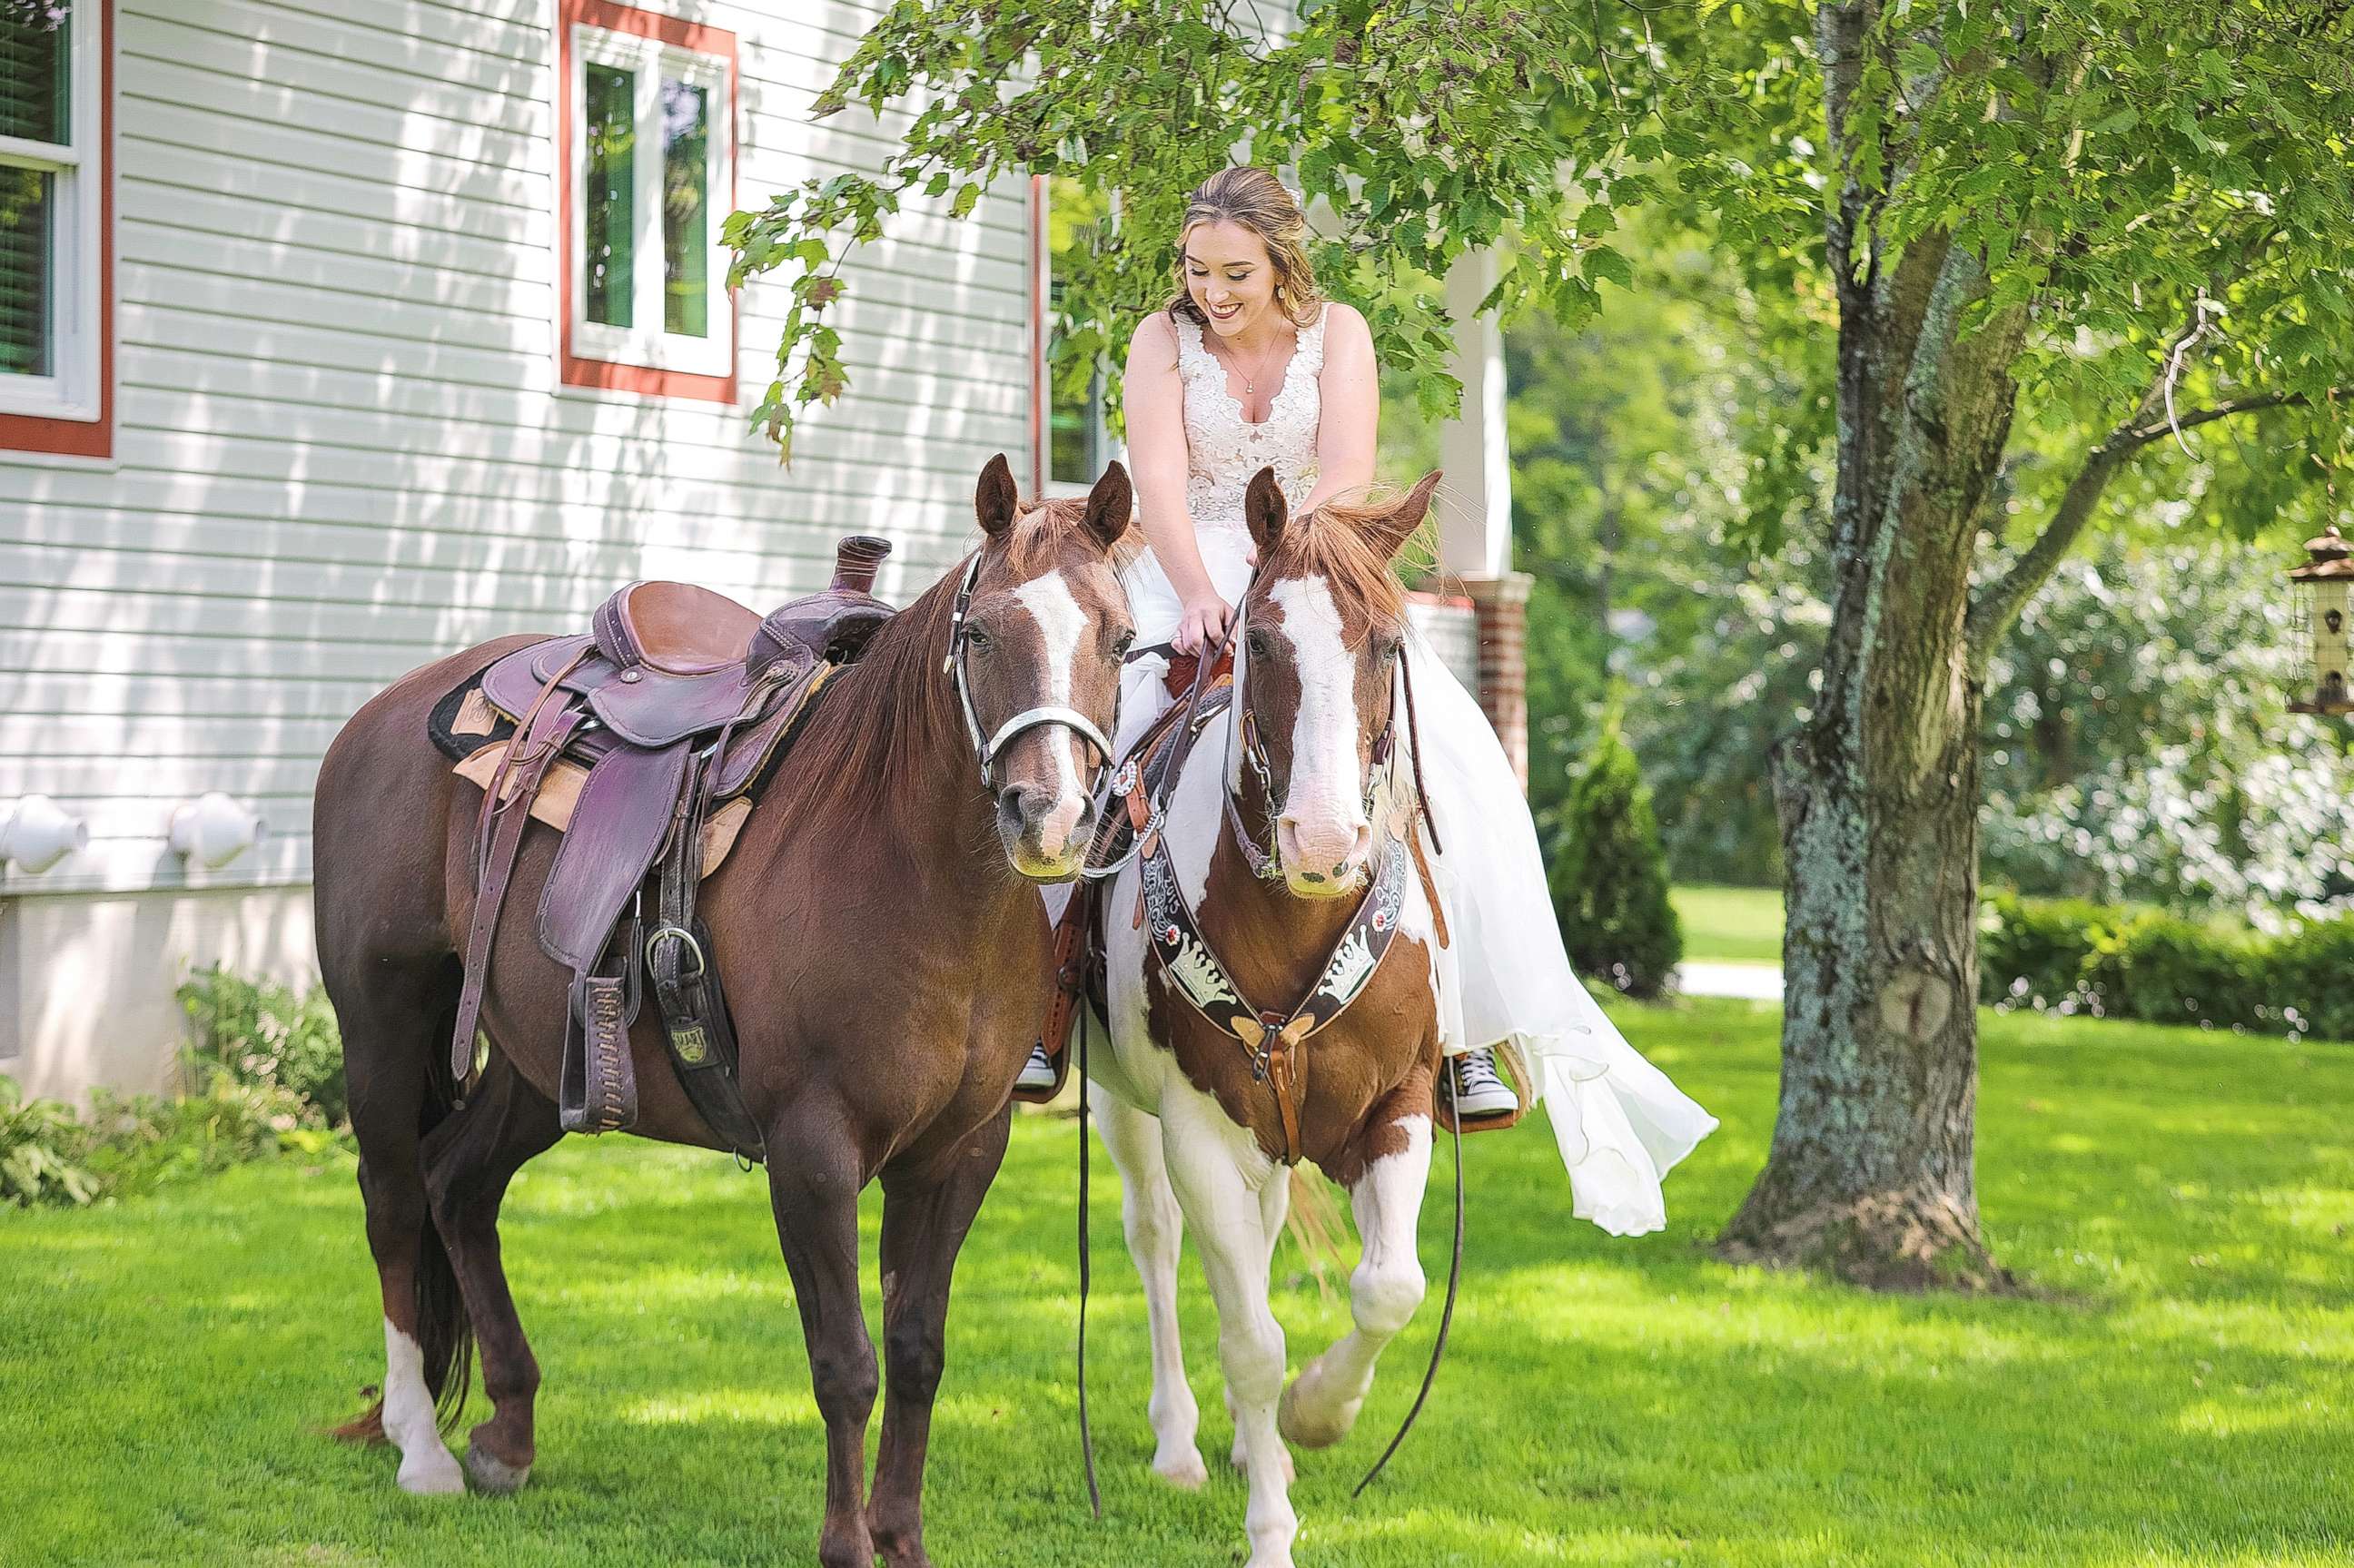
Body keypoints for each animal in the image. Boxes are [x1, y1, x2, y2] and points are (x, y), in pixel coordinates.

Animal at [312, 454, 1139, 1563]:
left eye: (1121, 637)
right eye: (978, 635)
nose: (1047, 816)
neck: (909, 870)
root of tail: (385, 713)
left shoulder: (963, 1148)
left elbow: (918, 1351)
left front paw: (902, 1537)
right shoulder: (812, 1148)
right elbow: (847, 1363)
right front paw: (847, 1543)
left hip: (539, 1062)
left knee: (460, 1187)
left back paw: (509, 1434)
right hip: (382, 1022)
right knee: (396, 1202)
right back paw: (419, 1447)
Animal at [1083, 466, 1449, 1563]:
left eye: (1386, 643)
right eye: (1265, 642)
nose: (1324, 839)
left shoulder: (1398, 1105)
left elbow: (1390, 1286)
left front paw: (1317, 1414)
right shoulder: (1199, 1133)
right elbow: (1250, 1341)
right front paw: (1271, 1529)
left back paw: (1263, 1445)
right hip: (1125, 1111)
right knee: (1157, 1239)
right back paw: (1181, 1443)